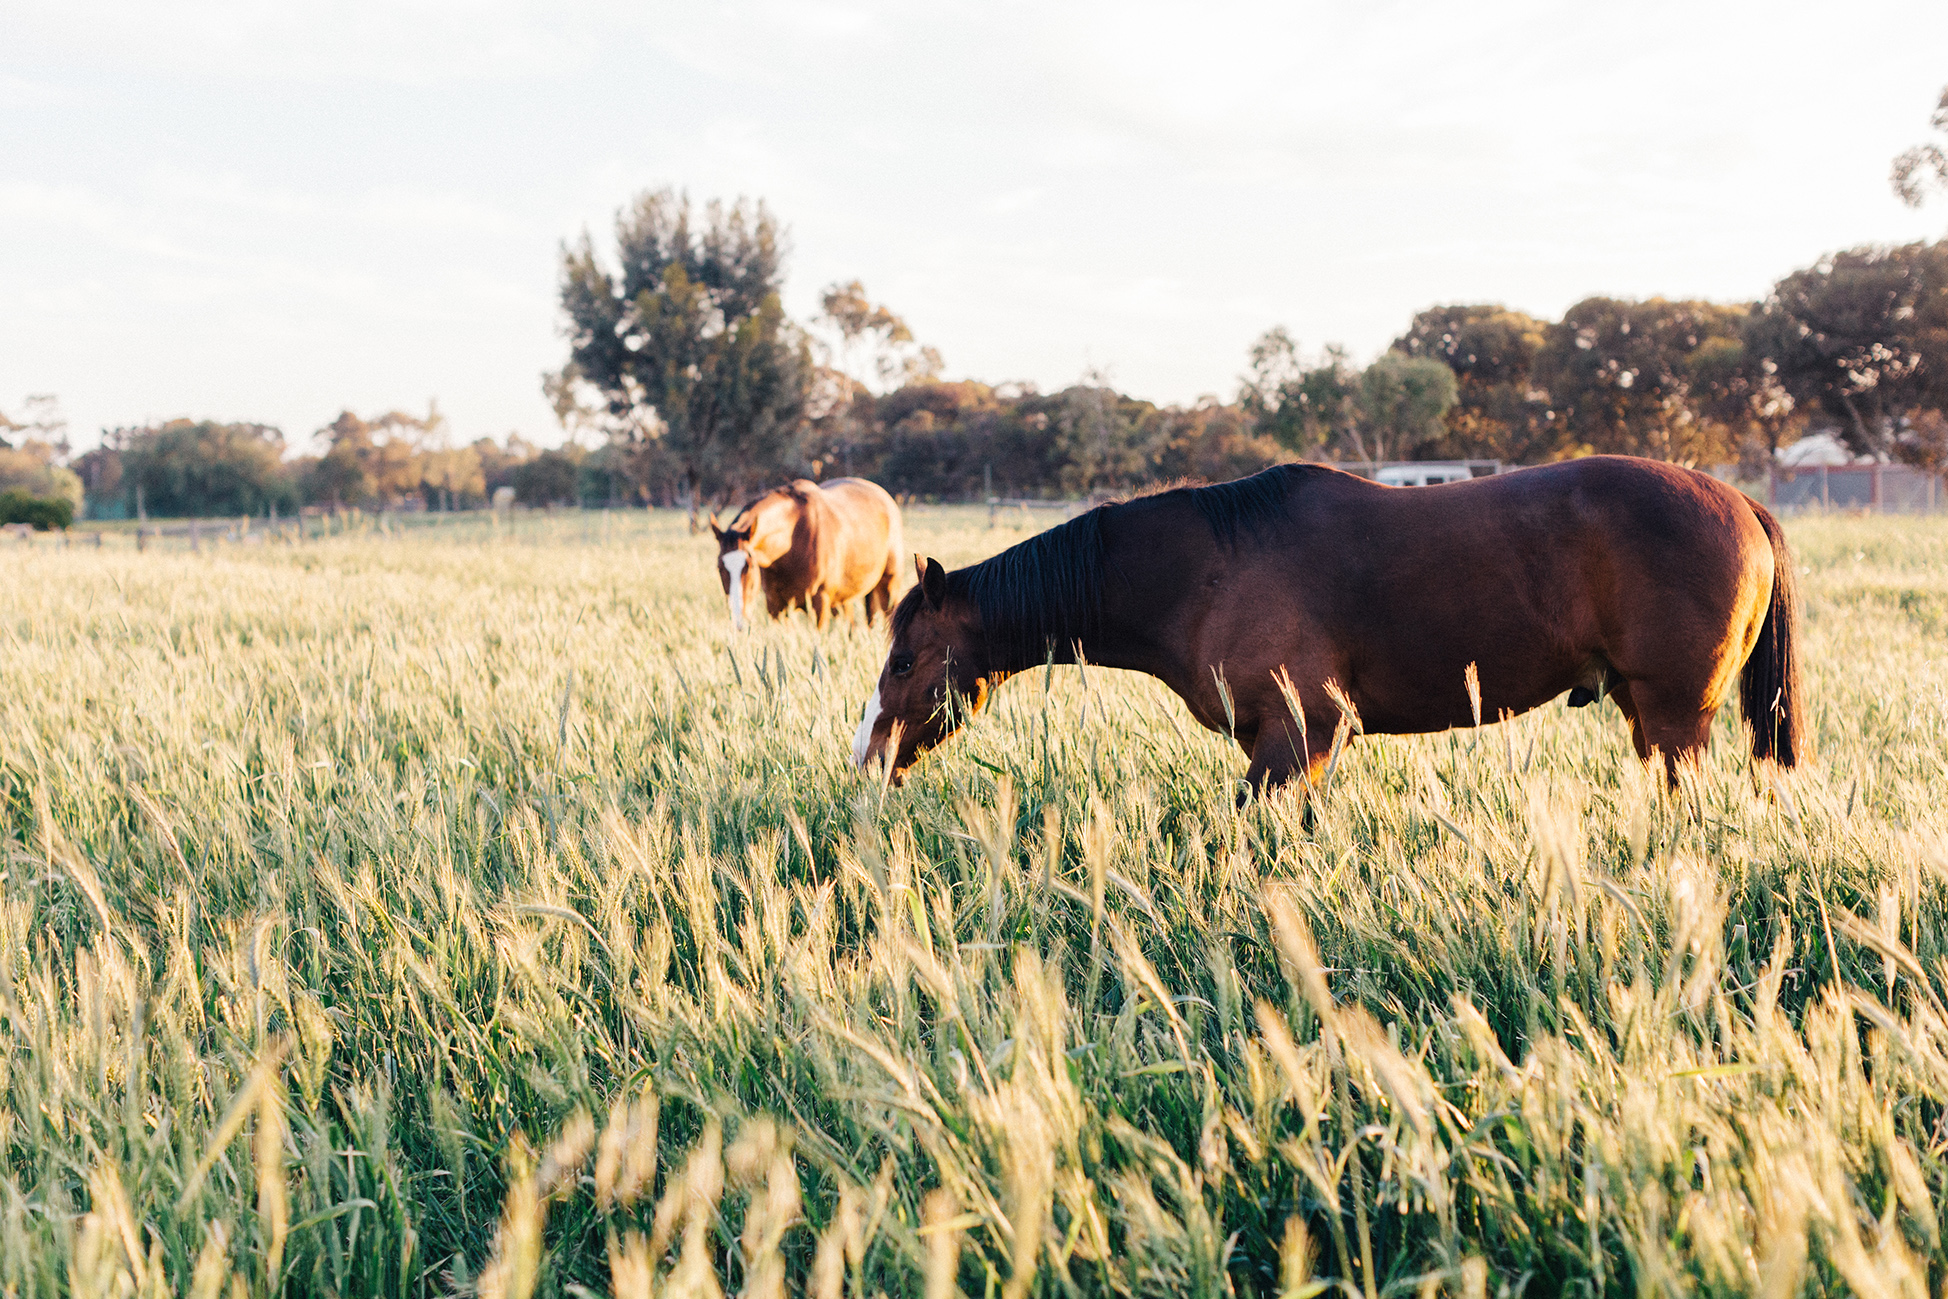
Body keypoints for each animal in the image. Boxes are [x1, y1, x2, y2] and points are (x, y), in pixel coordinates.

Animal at [709, 482, 903, 634]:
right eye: (719, 568)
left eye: (749, 566)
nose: (739, 621)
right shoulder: (776, 606)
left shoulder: (820, 604)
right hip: (843, 600)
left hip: (889, 587)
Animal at [853, 461, 1807, 794]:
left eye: (902, 663)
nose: (867, 759)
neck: (1205, 570)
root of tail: (1740, 501)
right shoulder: (1287, 741)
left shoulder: (1301, 733)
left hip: (1675, 718)